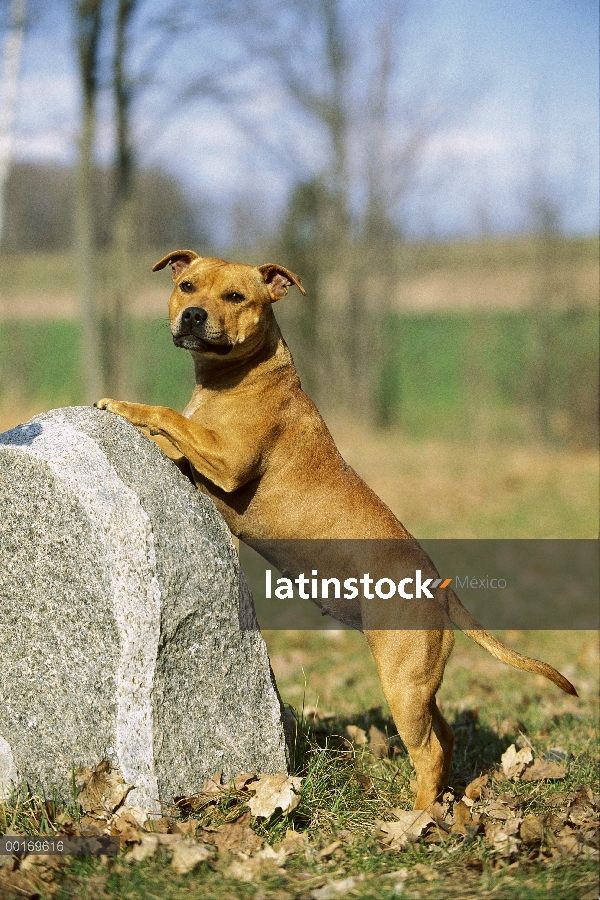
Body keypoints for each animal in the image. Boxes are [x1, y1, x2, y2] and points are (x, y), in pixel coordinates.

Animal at [95, 250, 576, 812]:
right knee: (446, 738)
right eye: (187, 286)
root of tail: (440, 587)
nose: (193, 314)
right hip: (419, 684)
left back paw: (415, 819)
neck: (240, 376)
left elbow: (168, 415)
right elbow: (175, 431)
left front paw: (123, 407)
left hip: (401, 682)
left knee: (430, 750)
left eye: (235, 296)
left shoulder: (228, 460)